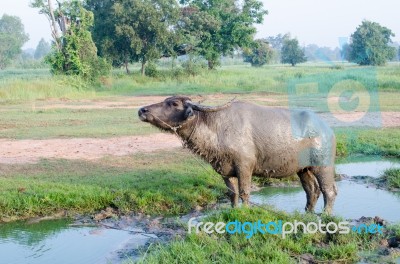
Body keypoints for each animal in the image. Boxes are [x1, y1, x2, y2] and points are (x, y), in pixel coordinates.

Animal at [138, 96, 338, 213]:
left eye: (173, 103)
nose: (142, 110)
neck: (217, 128)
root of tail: (326, 129)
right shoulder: (225, 170)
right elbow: (232, 193)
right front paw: (234, 210)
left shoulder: (245, 167)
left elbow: (244, 193)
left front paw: (246, 211)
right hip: (303, 169)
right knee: (312, 190)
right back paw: (307, 213)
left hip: (324, 166)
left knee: (329, 191)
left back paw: (324, 216)